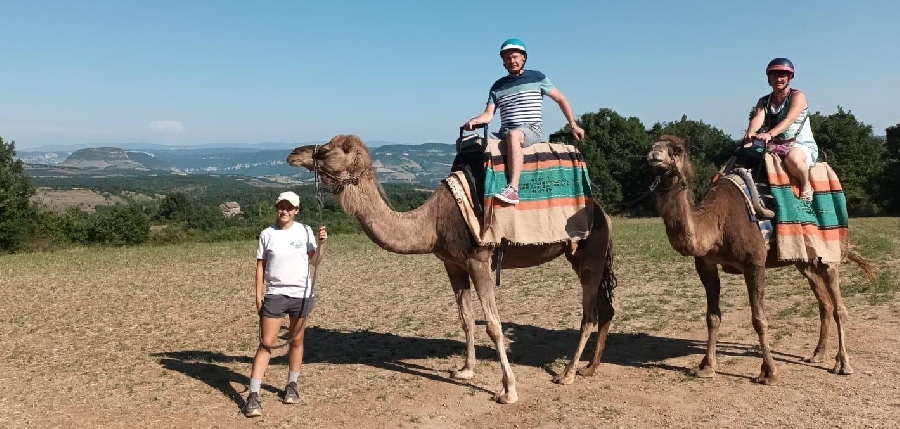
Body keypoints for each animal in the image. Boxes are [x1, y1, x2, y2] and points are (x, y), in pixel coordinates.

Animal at [288, 134, 620, 402]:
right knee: (605, 308)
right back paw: (589, 368)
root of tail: (602, 212)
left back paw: (567, 373)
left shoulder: (479, 261)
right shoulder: (453, 264)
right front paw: (465, 370)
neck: (432, 222)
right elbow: (466, 318)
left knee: (589, 315)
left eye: (326, 150)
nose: (294, 153)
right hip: (578, 256)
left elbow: (493, 325)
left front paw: (508, 390)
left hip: (590, 254)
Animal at [648, 134, 880, 382]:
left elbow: (759, 319)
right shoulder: (705, 264)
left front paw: (768, 372)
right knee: (824, 303)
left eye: (677, 149)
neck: (716, 223)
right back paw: (817, 355)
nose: (654, 153)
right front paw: (705, 367)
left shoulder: (754, 263)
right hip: (803, 260)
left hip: (829, 250)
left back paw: (843, 364)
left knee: (838, 306)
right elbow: (712, 317)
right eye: (653, 143)